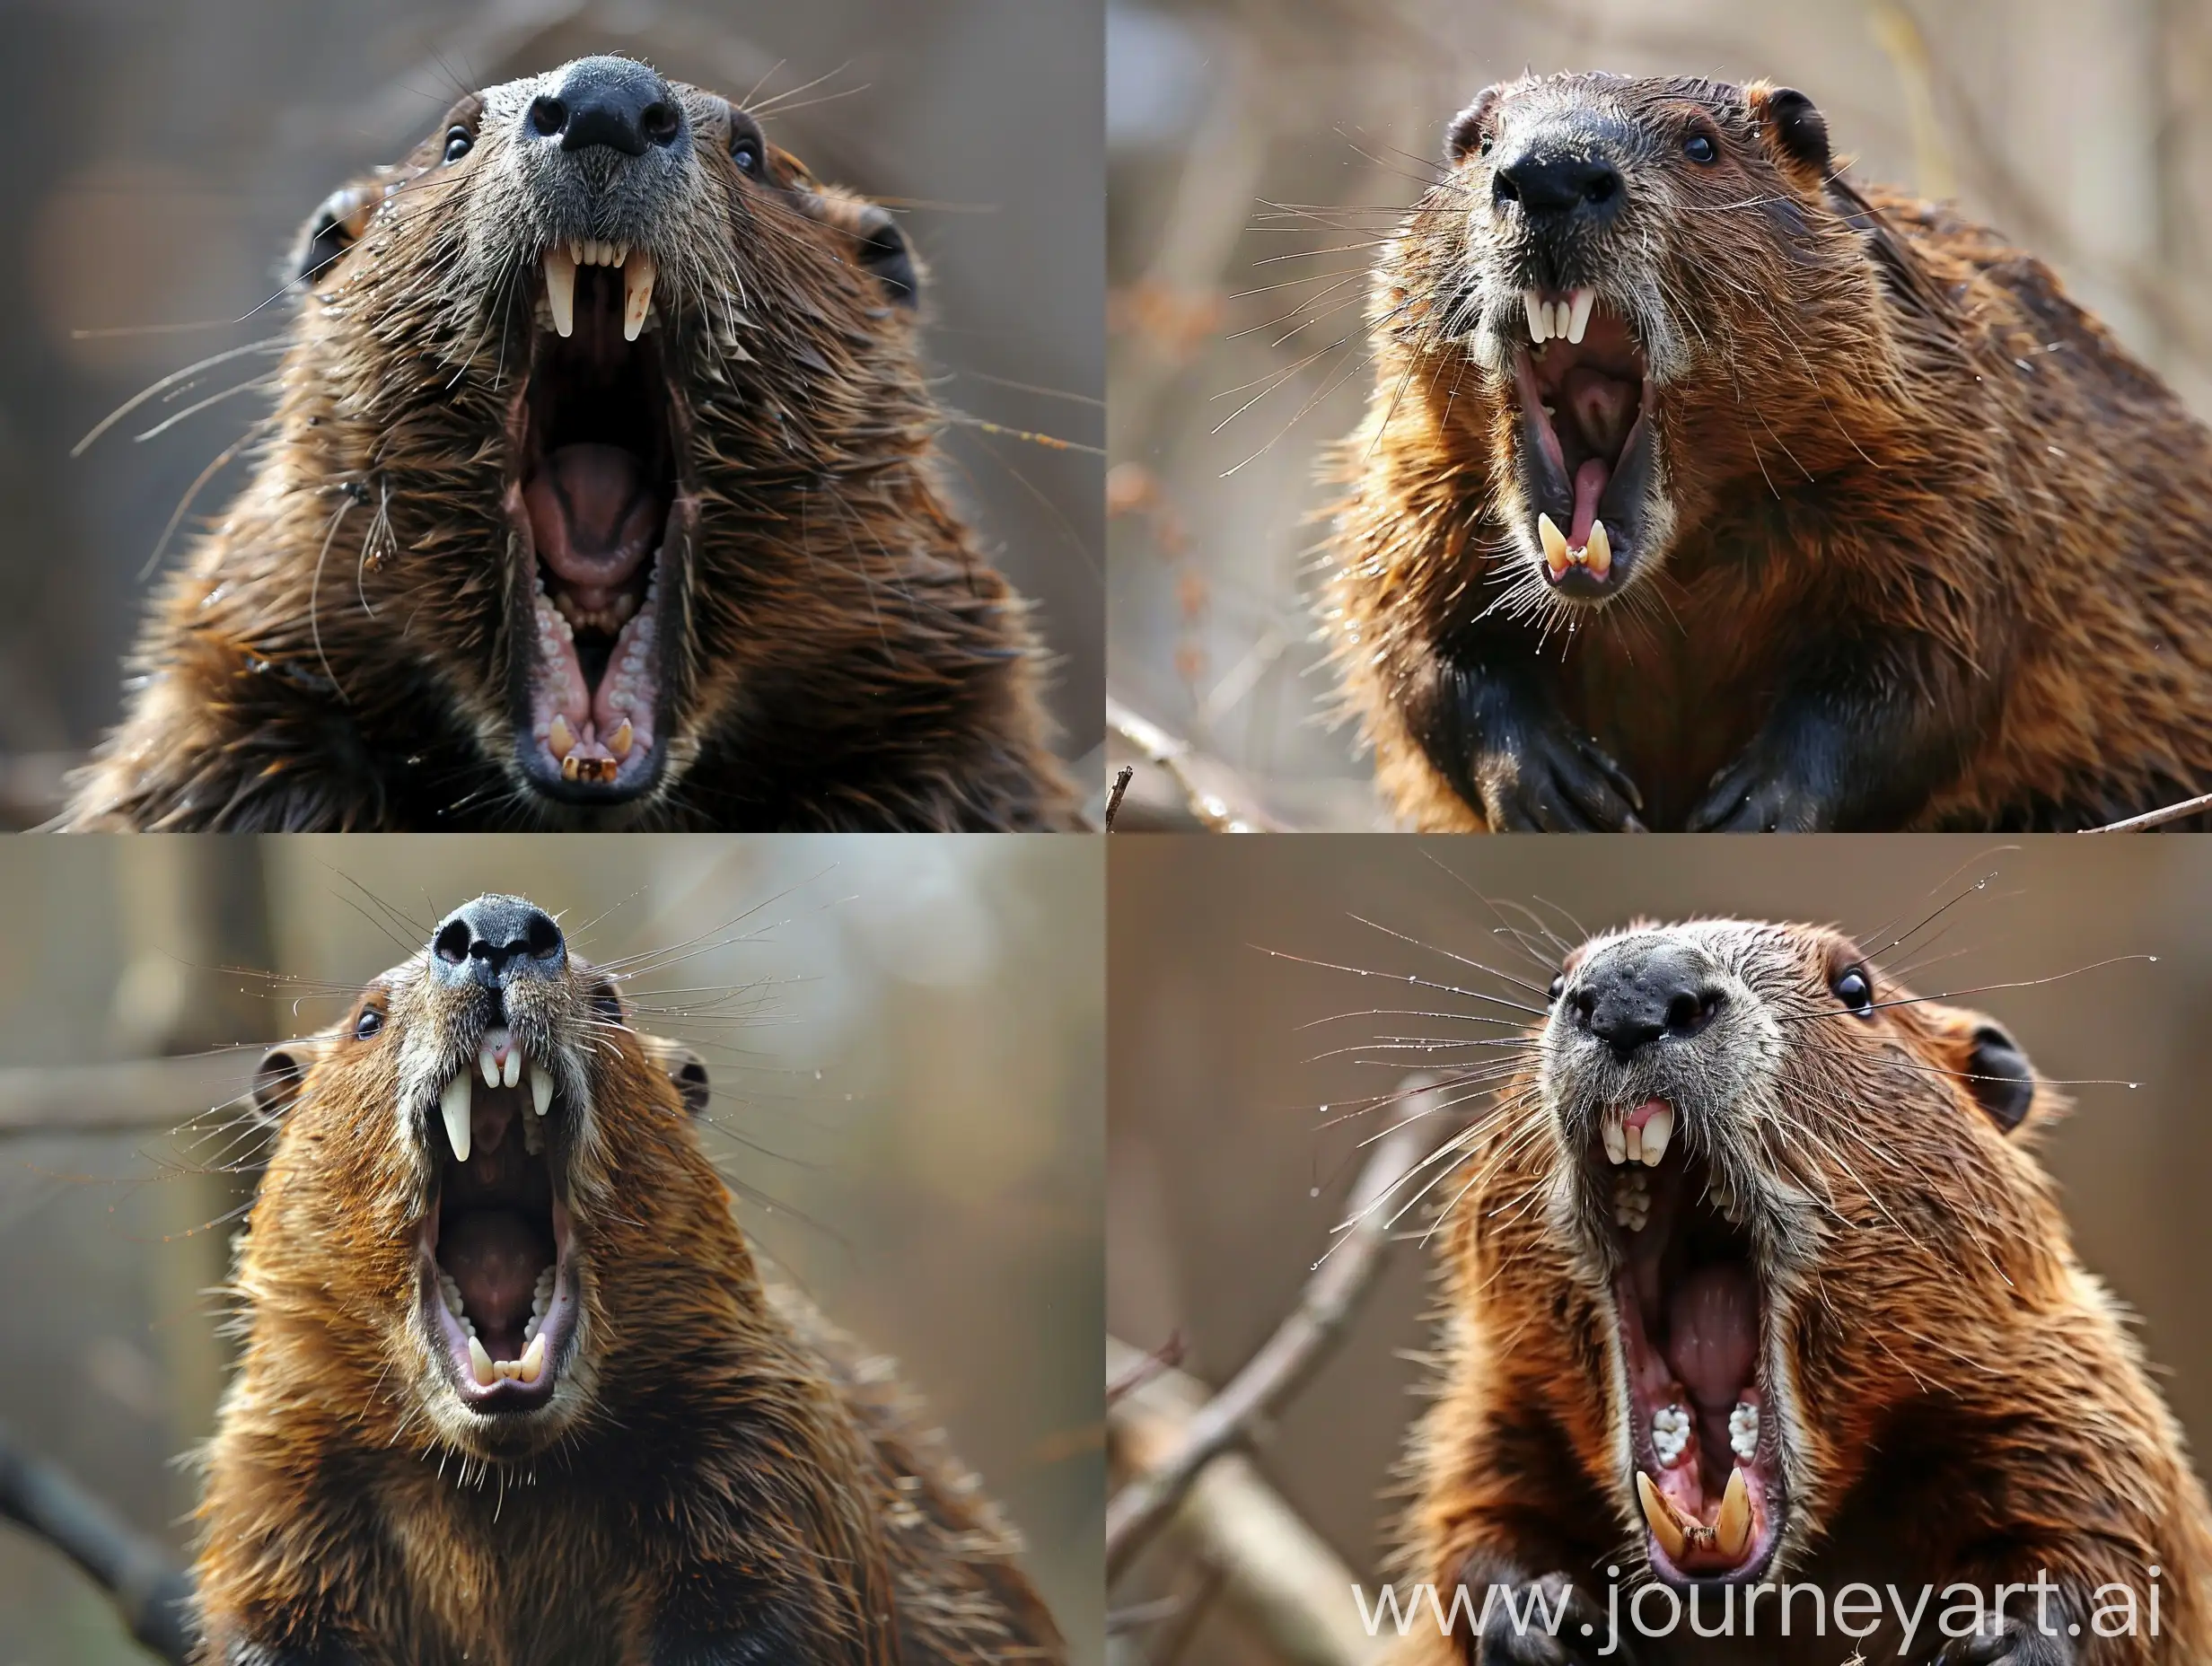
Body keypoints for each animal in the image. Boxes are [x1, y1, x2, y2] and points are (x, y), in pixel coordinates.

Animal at [192, 898, 1061, 1663]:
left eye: (610, 1004)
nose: (497, 928)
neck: (506, 1485)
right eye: (367, 1020)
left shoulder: (760, 1437)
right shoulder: (281, 1469)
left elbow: (753, 1612)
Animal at [1318, 75, 2212, 827]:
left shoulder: (1963, 467)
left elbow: (1938, 658)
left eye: (1701, 143)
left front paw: (1754, 807)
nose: (1550, 175)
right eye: (1482, 144)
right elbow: (1408, 633)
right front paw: (1559, 792)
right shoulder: (1413, 482)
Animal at [1380, 916, 2212, 1654]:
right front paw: (1545, 1617)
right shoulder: (1494, 1407)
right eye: (1556, 984)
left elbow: (2117, 1539)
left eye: (1855, 987)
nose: (1632, 990)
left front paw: (2006, 1640)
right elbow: (1474, 1520)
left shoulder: (2060, 1383)